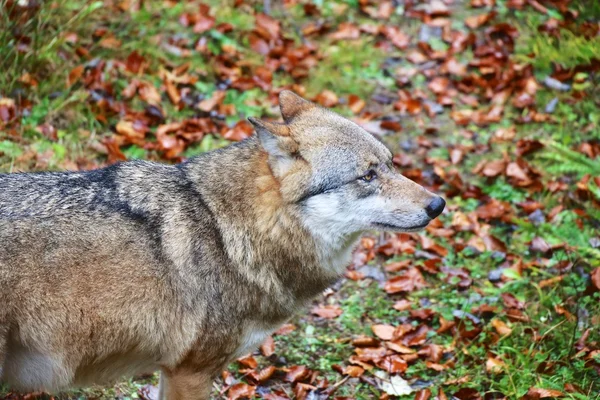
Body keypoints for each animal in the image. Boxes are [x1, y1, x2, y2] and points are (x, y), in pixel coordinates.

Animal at [0, 91, 440, 400]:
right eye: (367, 176)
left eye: (391, 164)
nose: (438, 204)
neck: (226, 229)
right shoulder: (191, 372)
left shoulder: (175, 371)